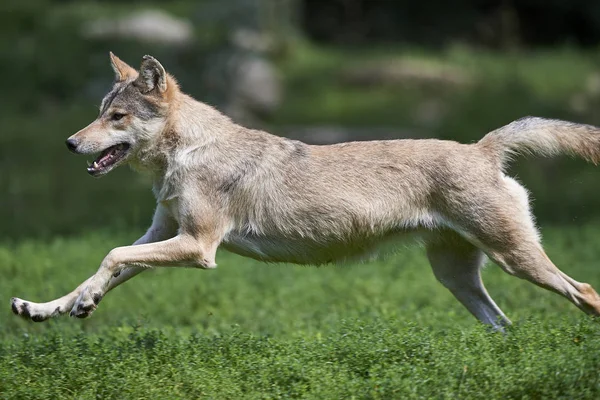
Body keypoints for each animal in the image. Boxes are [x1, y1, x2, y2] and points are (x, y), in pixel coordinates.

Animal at [8, 52, 600, 328]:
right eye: (98, 113)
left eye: (117, 117)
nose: (69, 143)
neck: (188, 154)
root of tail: (482, 147)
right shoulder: (160, 235)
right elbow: (100, 269)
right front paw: (50, 307)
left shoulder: (198, 248)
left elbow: (109, 254)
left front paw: (79, 301)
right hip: (458, 278)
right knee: (505, 324)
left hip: (514, 260)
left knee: (586, 293)